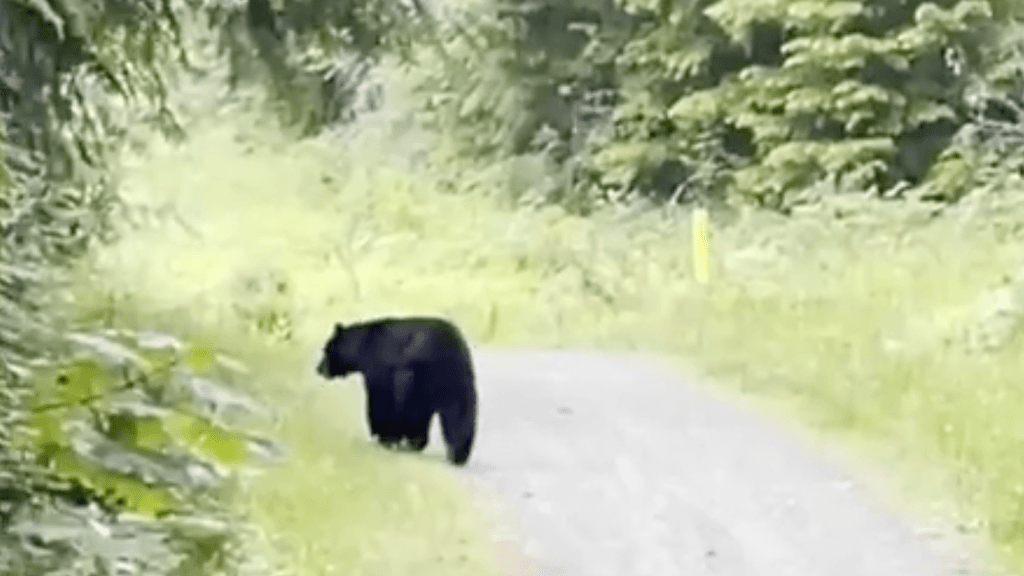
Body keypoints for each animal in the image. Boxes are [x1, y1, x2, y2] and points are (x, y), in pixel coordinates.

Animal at [315, 315, 479, 463]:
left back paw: (407, 442)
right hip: (459, 384)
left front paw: (382, 435)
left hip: (416, 379)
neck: (363, 346)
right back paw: (458, 454)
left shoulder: (380, 369)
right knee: (460, 417)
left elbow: (379, 400)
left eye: (325, 349)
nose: (318, 369)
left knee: (414, 413)